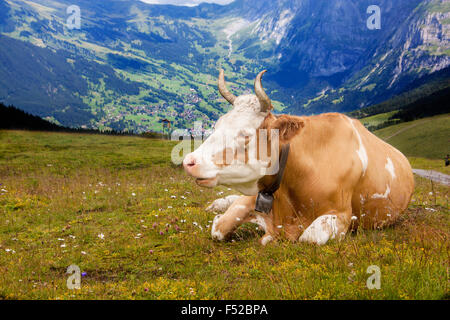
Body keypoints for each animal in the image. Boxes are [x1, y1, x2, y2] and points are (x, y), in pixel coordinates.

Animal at [182, 69, 414, 245]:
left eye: (245, 134)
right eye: (217, 125)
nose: (189, 161)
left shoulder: (341, 215)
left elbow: (308, 238)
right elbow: (218, 228)